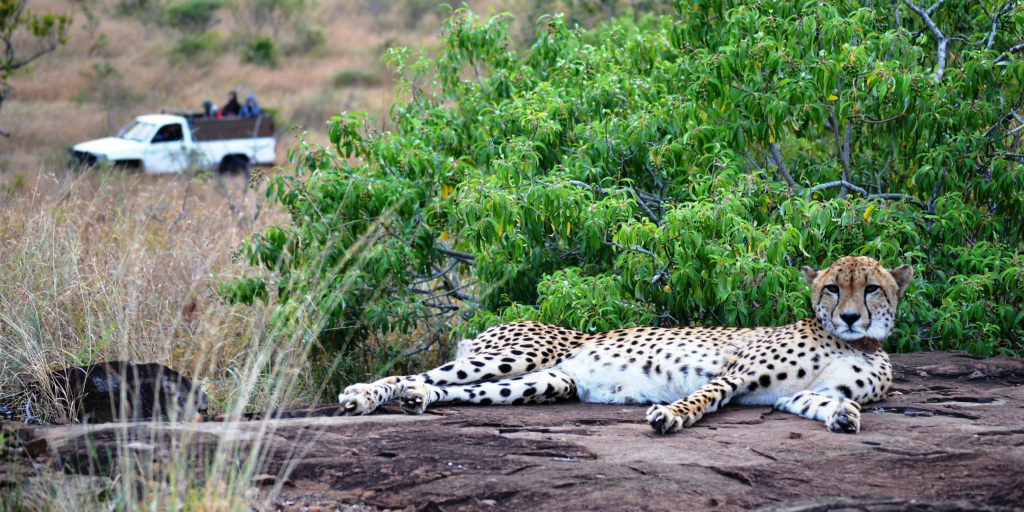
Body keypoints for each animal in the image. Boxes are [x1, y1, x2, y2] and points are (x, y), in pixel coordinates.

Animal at [339, 258, 917, 434]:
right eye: (832, 287)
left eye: (871, 287)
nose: (849, 316)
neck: (854, 344)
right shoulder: (735, 374)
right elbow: (703, 397)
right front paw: (670, 417)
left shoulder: (789, 395)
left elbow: (823, 399)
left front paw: (843, 416)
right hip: (515, 354)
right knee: (416, 374)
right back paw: (364, 395)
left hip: (544, 382)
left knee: (454, 390)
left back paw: (417, 402)